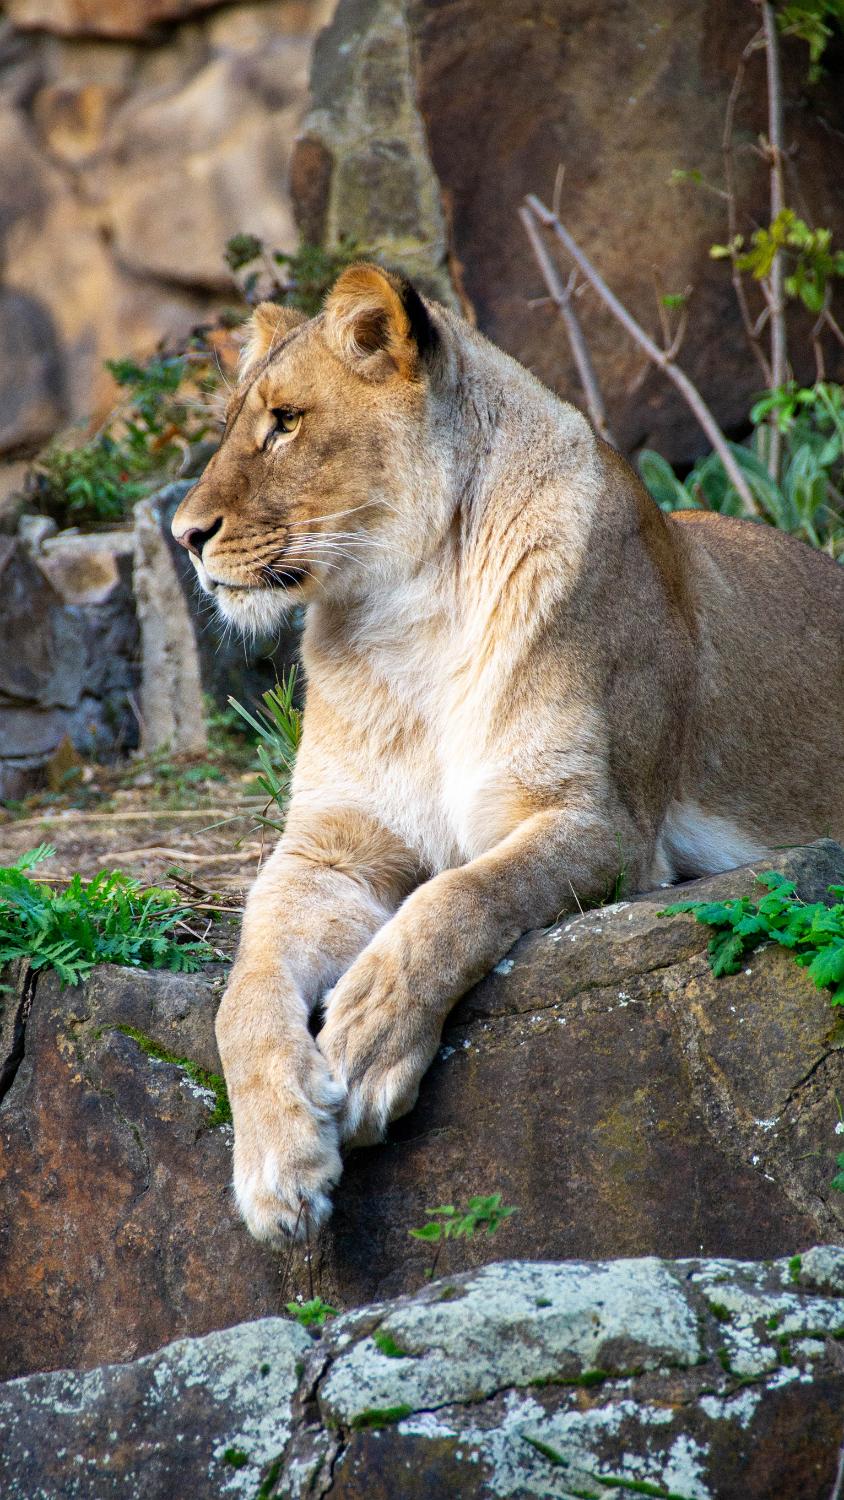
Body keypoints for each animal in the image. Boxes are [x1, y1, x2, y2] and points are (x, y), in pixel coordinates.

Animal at [172, 263, 844, 1243]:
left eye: (287, 421)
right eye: (235, 422)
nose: (184, 536)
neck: (407, 612)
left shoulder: (601, 823)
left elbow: (462, 896)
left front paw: (366, 1042)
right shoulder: (329, 852)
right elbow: (245, 991)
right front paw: (278, 1166)